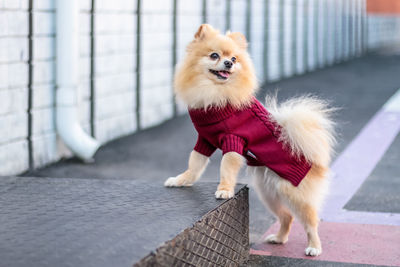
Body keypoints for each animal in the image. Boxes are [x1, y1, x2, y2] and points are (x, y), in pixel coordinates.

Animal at [164, 25, 336, 258]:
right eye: (214, 55)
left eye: (234, 59)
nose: (228, 63)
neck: (216, 93)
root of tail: (315, 161)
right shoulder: (205, 140)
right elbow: (194, 163)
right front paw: (181, 180)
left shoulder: (233, 140)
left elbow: (226, 168)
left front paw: (225, 190)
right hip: (269, 193)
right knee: (286, 216)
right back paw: (279, 239)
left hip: (295, 194)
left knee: (311, 221)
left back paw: (314, 247)